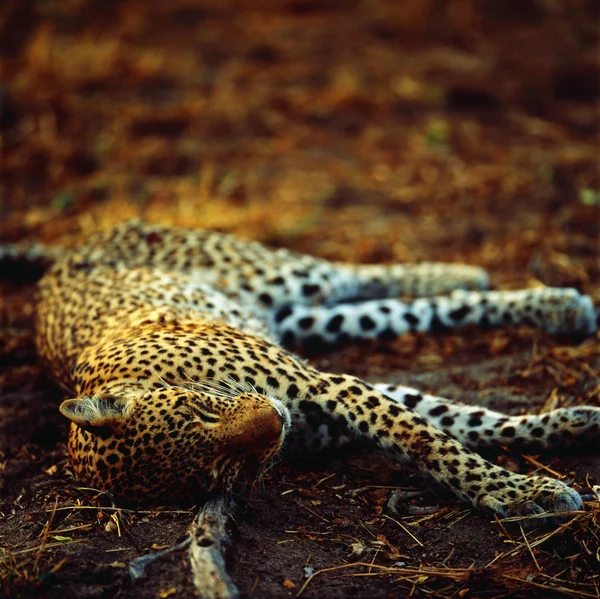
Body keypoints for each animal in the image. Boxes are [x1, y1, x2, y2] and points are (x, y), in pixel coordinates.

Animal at [5, 219, 600, 520]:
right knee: (412, 309)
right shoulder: (329, 404)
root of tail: (76, 243)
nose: (273, 422)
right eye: (217, 474)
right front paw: (565, 432)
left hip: (276, 274)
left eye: (199, 410)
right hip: (301, 316)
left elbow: (432, 441)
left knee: (350, 272)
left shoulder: (325, 384)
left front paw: (522, 492)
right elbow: (455, 420)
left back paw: (480, 276)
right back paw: (548, 308)